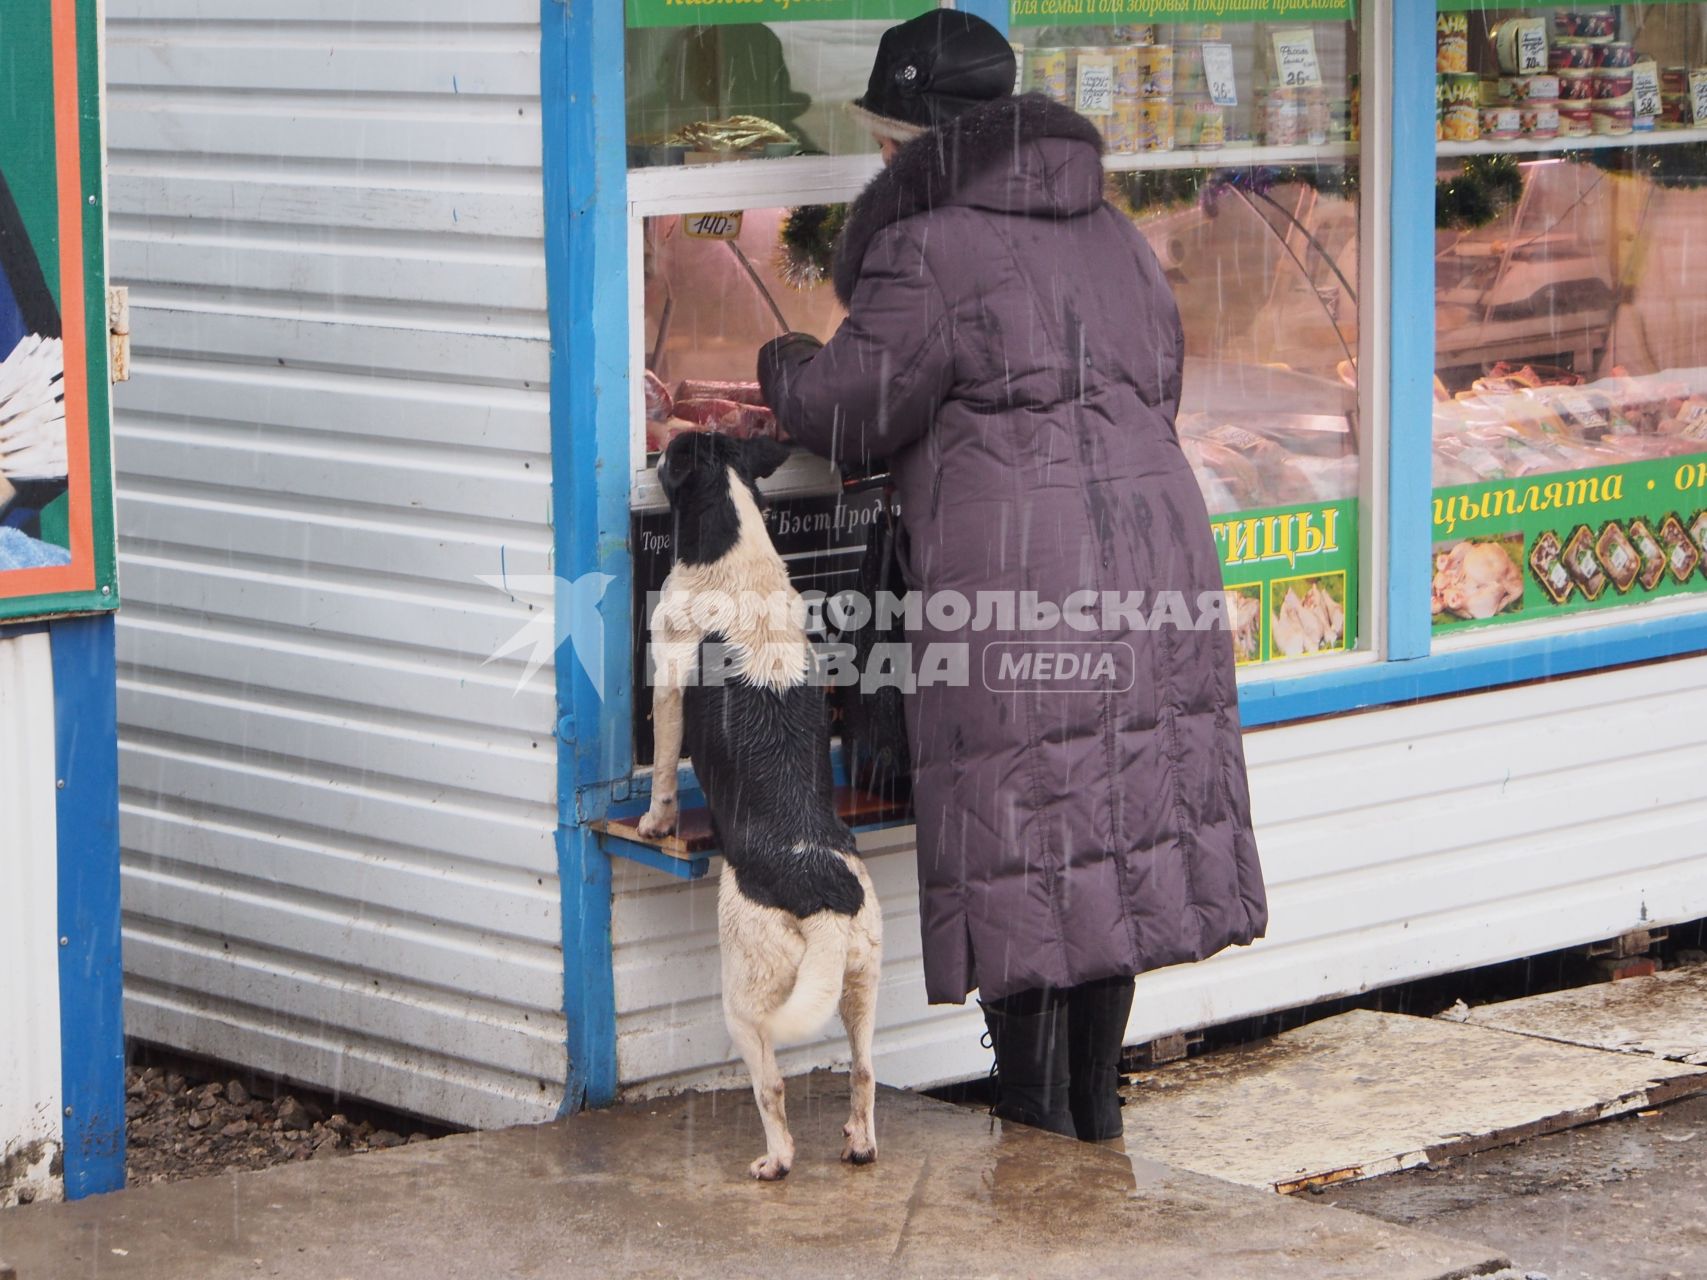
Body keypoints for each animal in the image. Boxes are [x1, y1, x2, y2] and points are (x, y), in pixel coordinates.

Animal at [638, 431, 880, 1181]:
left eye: (673, 453)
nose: (658, 448)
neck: (736, 555)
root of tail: (823, 894)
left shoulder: (666, 680)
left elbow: (663, 770)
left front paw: (653, 823)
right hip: (861, 981)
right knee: (864, 1072)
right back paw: (858, 1144)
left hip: (745, 1000)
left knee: (771, 1087)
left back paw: (775, 1160)